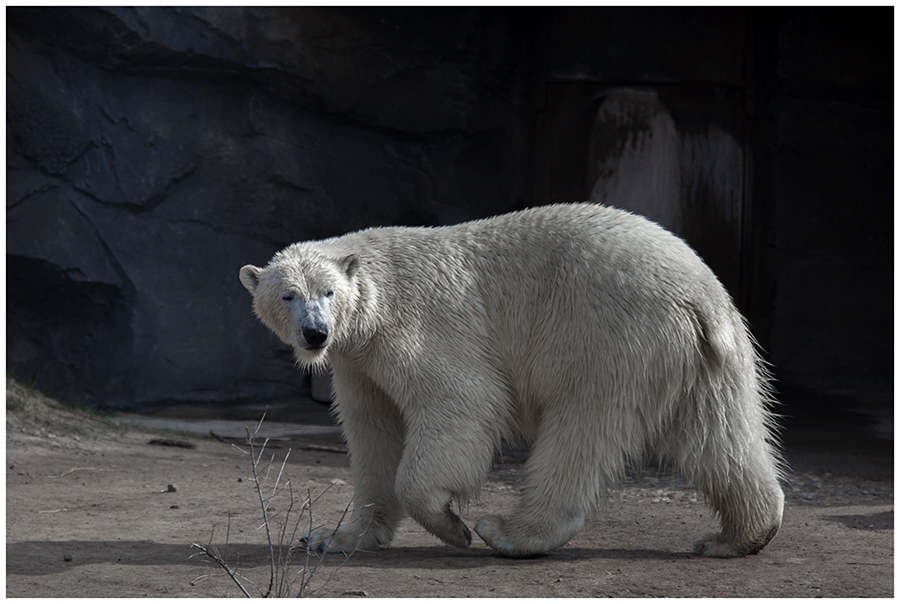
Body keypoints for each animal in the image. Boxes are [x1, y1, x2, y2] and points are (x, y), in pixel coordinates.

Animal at [239, 202, 780, 556]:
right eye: (288, 295)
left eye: (328, 291)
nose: (315, 334)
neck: (377, 292)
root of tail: (699, 291)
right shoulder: (359, 361)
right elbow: (375, 433)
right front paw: (332, 537)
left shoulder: (415, 327)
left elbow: (463, 399)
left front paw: (450, 523)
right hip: (708, 356)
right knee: (720, 435)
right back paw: (737, 536)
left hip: (608, 334)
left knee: (581, 427)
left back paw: (509, 532)